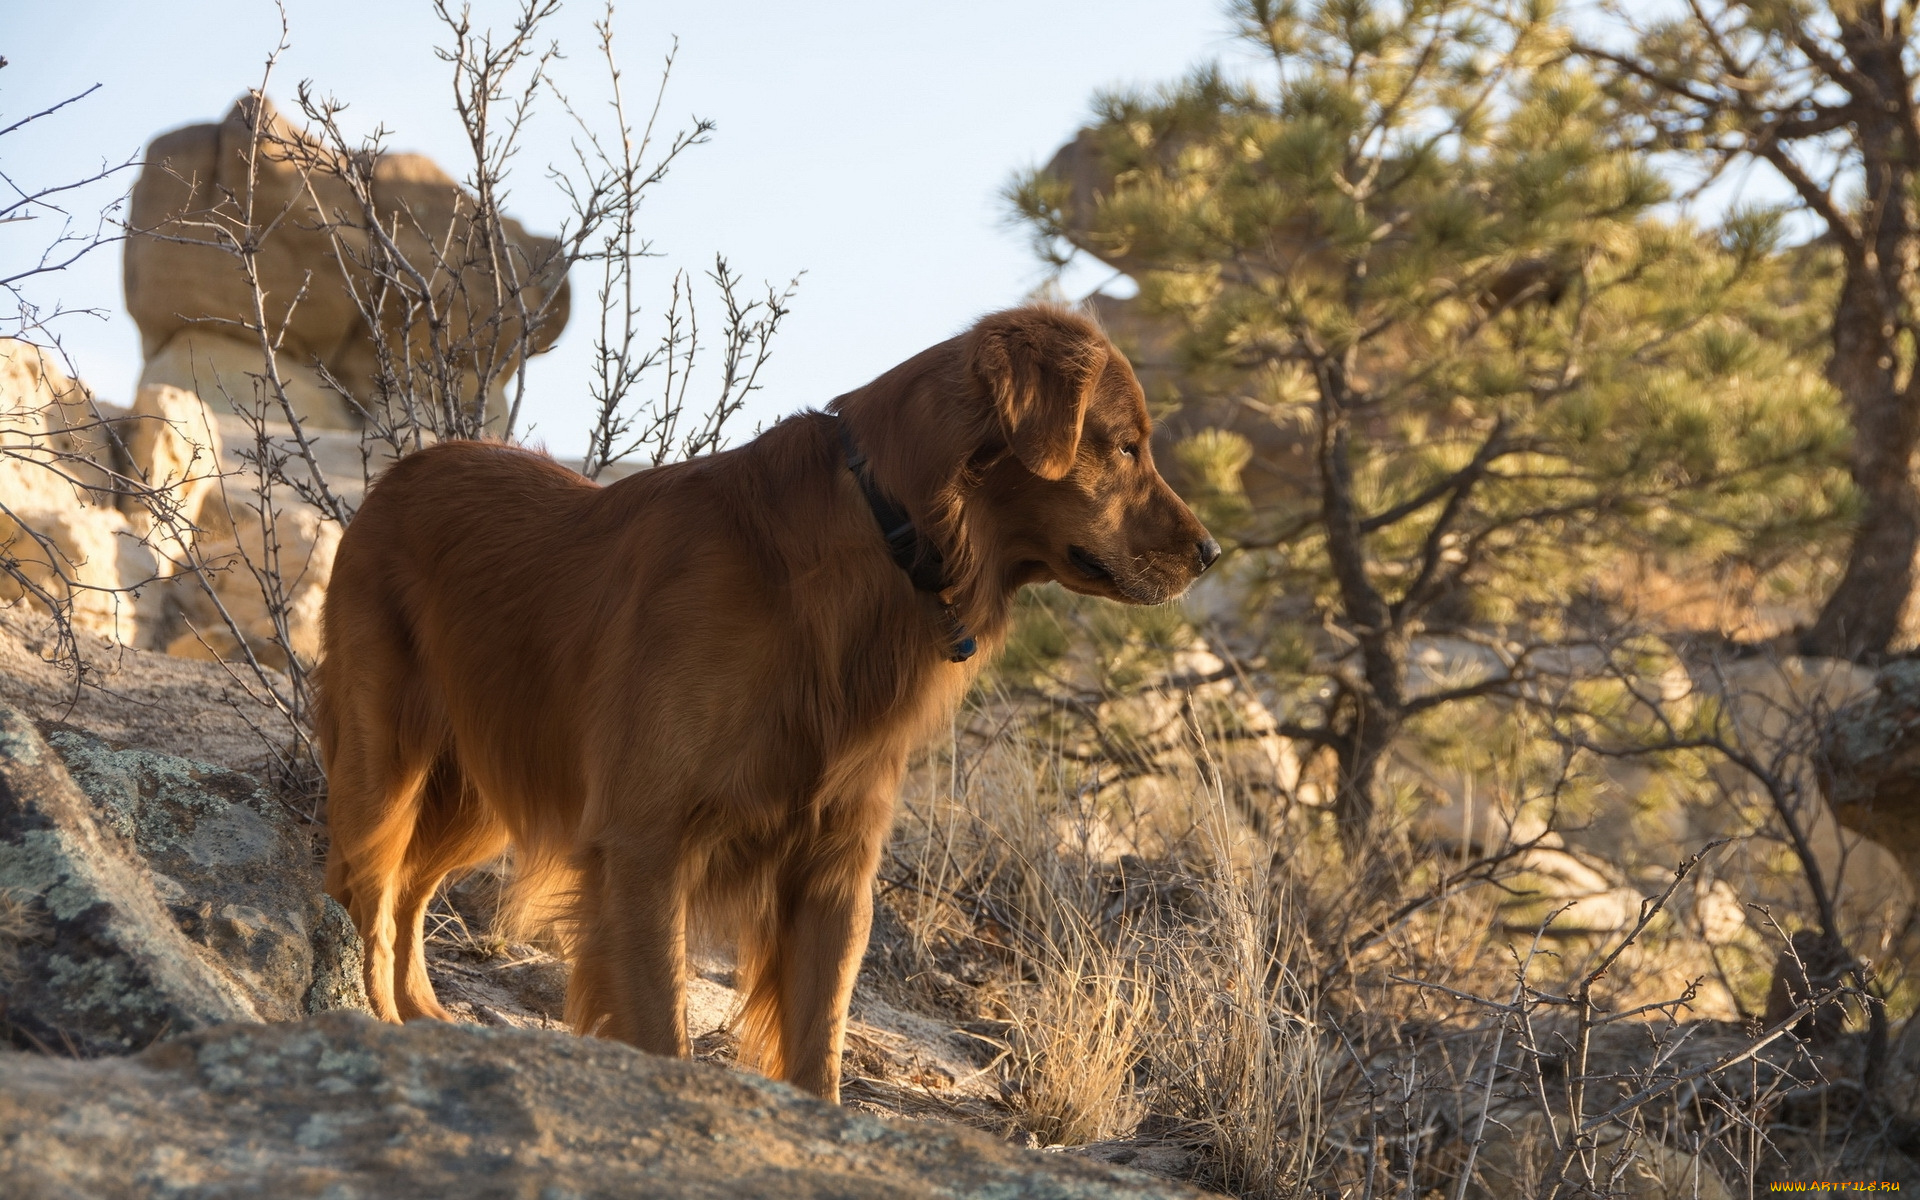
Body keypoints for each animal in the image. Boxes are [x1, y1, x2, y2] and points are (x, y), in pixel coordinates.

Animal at [314, 307, 1213, 1098]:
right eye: (1125, 445)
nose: (1209, 552)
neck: (887, 538)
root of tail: (399, 474)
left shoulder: (834, 868)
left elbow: (819, 1050)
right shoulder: (644, 843)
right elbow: (662, 1026)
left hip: (483, 785)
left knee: (407, 893)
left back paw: (420, 1020)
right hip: (390, 763)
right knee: (369, 890)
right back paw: (370, 1025)